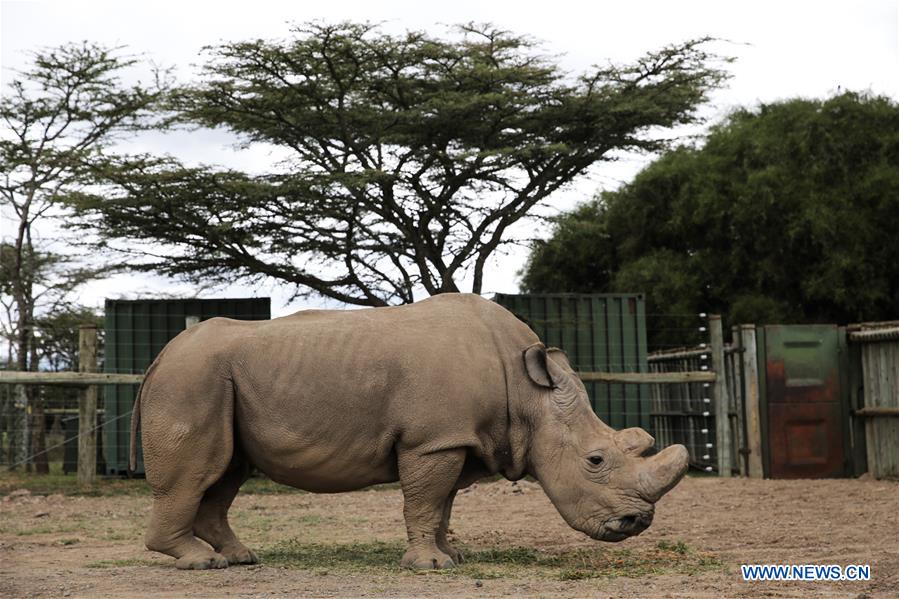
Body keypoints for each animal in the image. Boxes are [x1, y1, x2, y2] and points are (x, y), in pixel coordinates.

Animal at [131, 293, 689, 570]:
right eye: (596, 460)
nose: (636, 524)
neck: (530, 395)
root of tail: (158, 356)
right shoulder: (433, 440)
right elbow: (423, 502)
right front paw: (430, 567)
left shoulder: (456, 438)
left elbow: (442, 505)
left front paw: (453, 556)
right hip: (192, 378)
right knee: (198, 473)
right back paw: (201, 564)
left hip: (214, 380)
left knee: (226, 473)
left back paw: (241, 558)